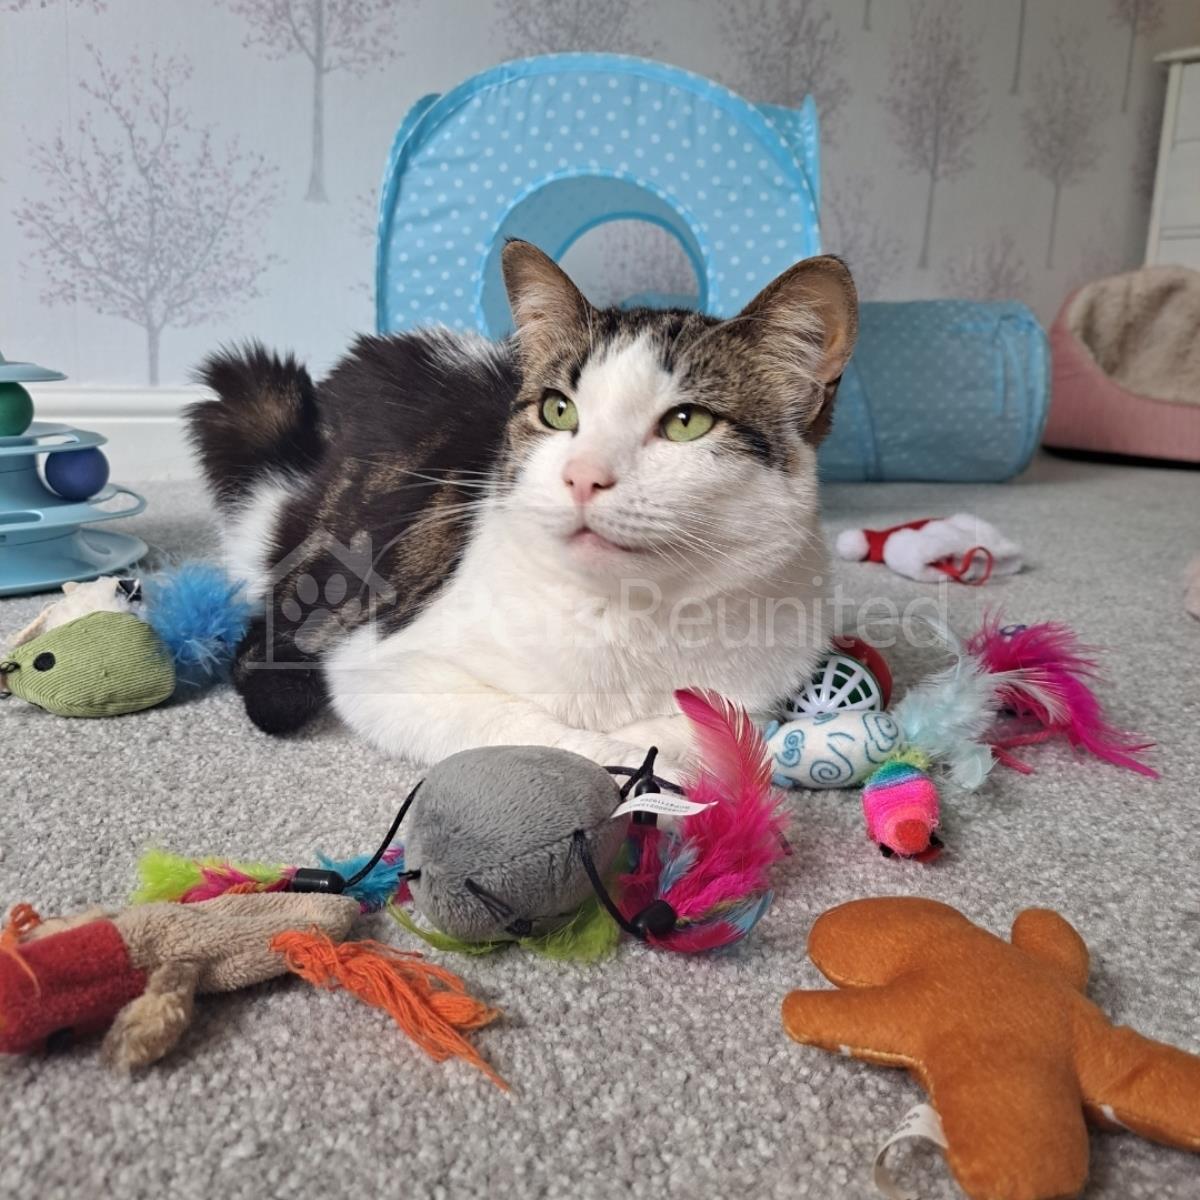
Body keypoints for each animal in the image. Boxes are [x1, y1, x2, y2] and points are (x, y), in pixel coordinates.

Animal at [189, 240, 858, 777]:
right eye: (558, 411)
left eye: (686, 422)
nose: (582, 476)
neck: (630, 616)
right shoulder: (380, 667)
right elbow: (534, 731)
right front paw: (637, 768)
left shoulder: (761, 680)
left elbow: (715, 725)